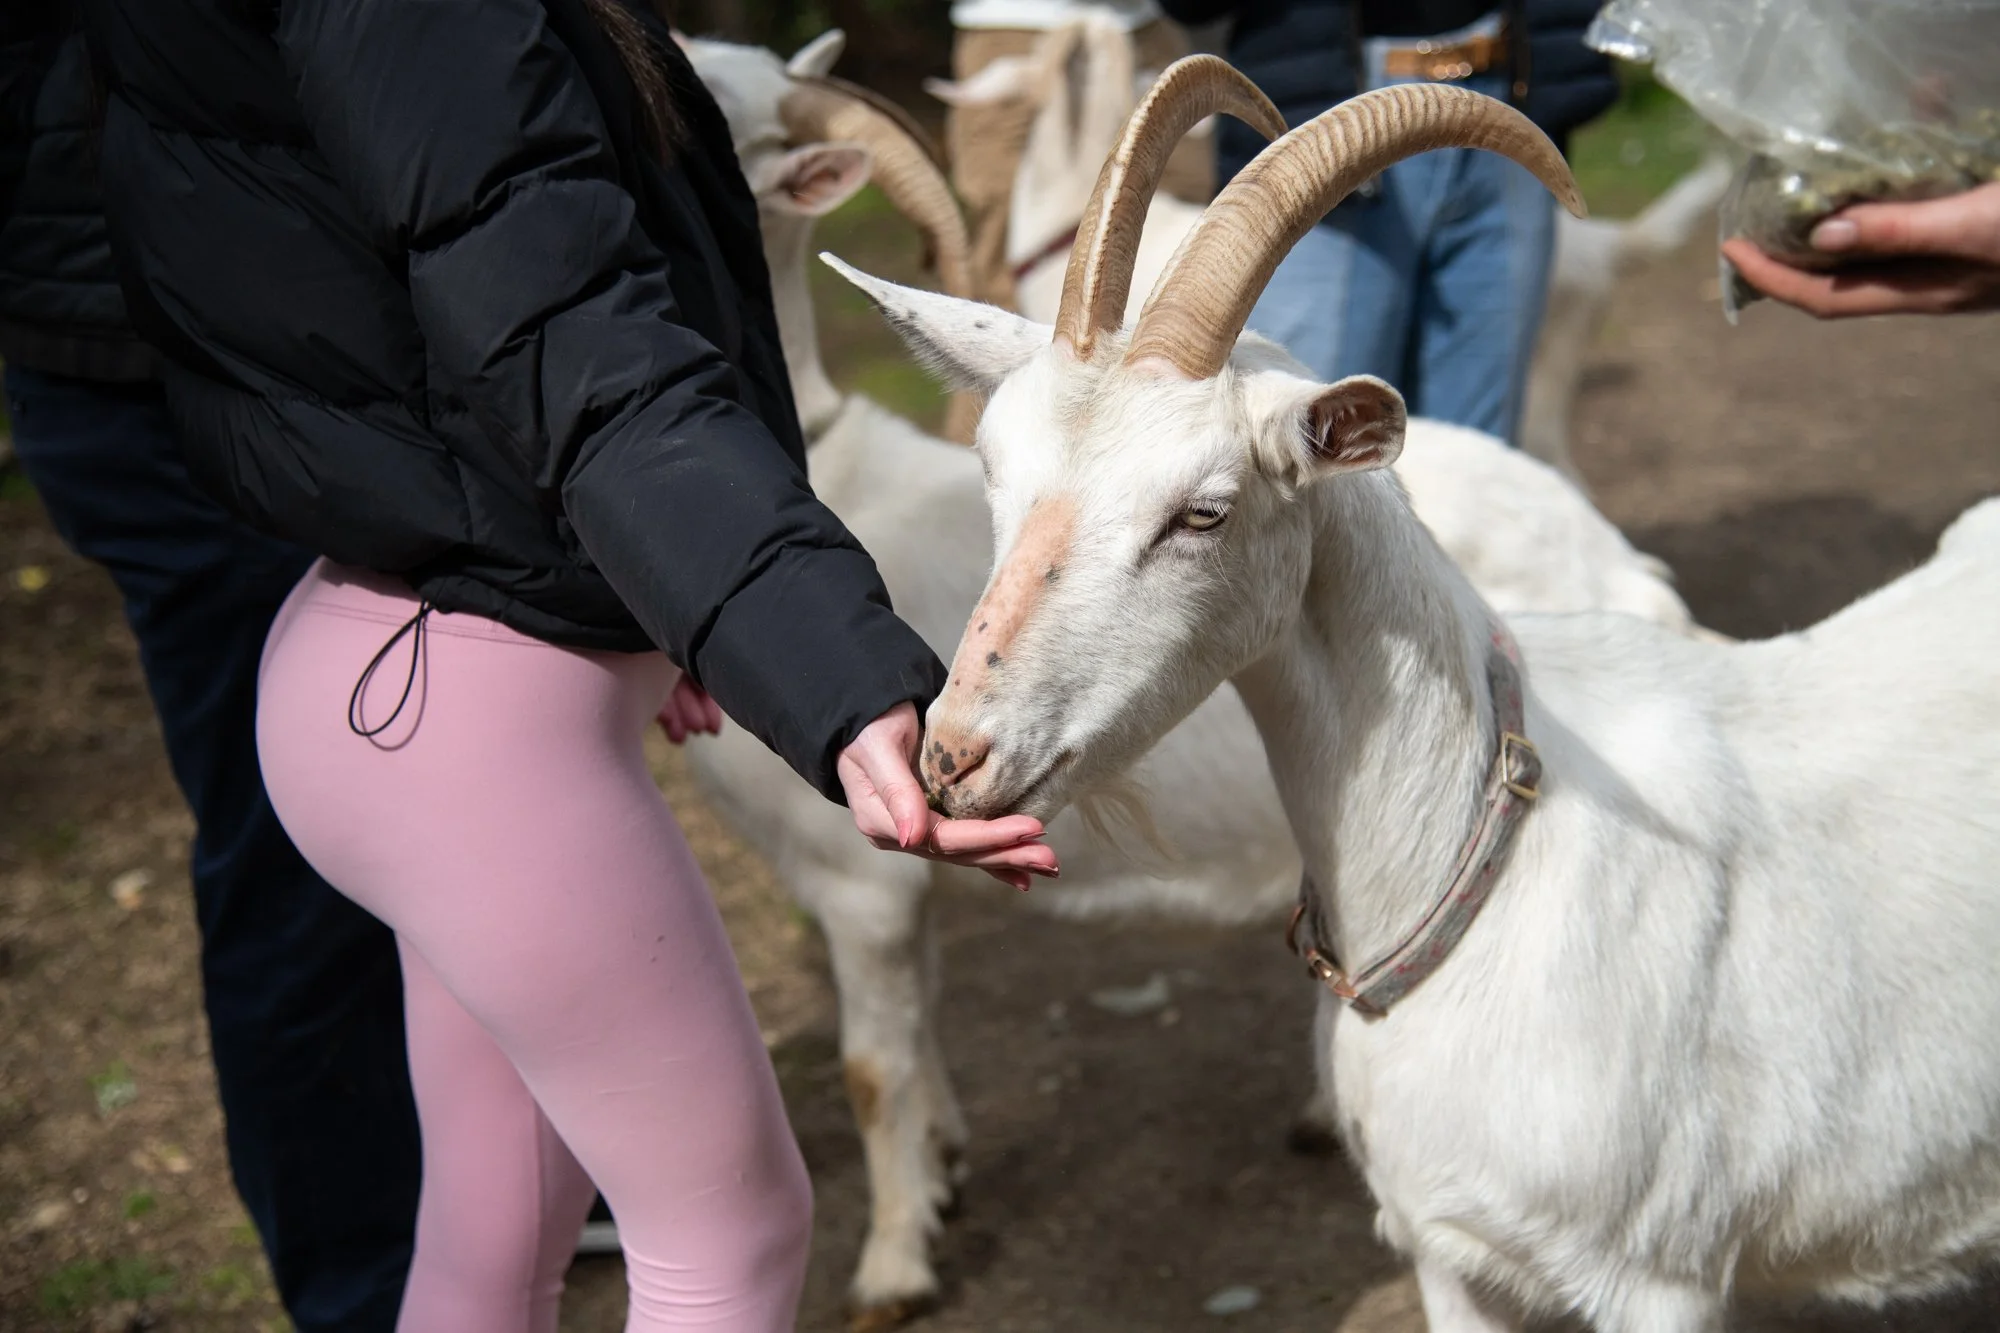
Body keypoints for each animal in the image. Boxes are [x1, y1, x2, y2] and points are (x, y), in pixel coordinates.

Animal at [830, 57, 2000, 1333]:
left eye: (1202, 510)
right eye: (992, 475)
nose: (953, 758)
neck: (1473, 874)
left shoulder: (1668, 1276)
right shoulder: (1449, 1252)